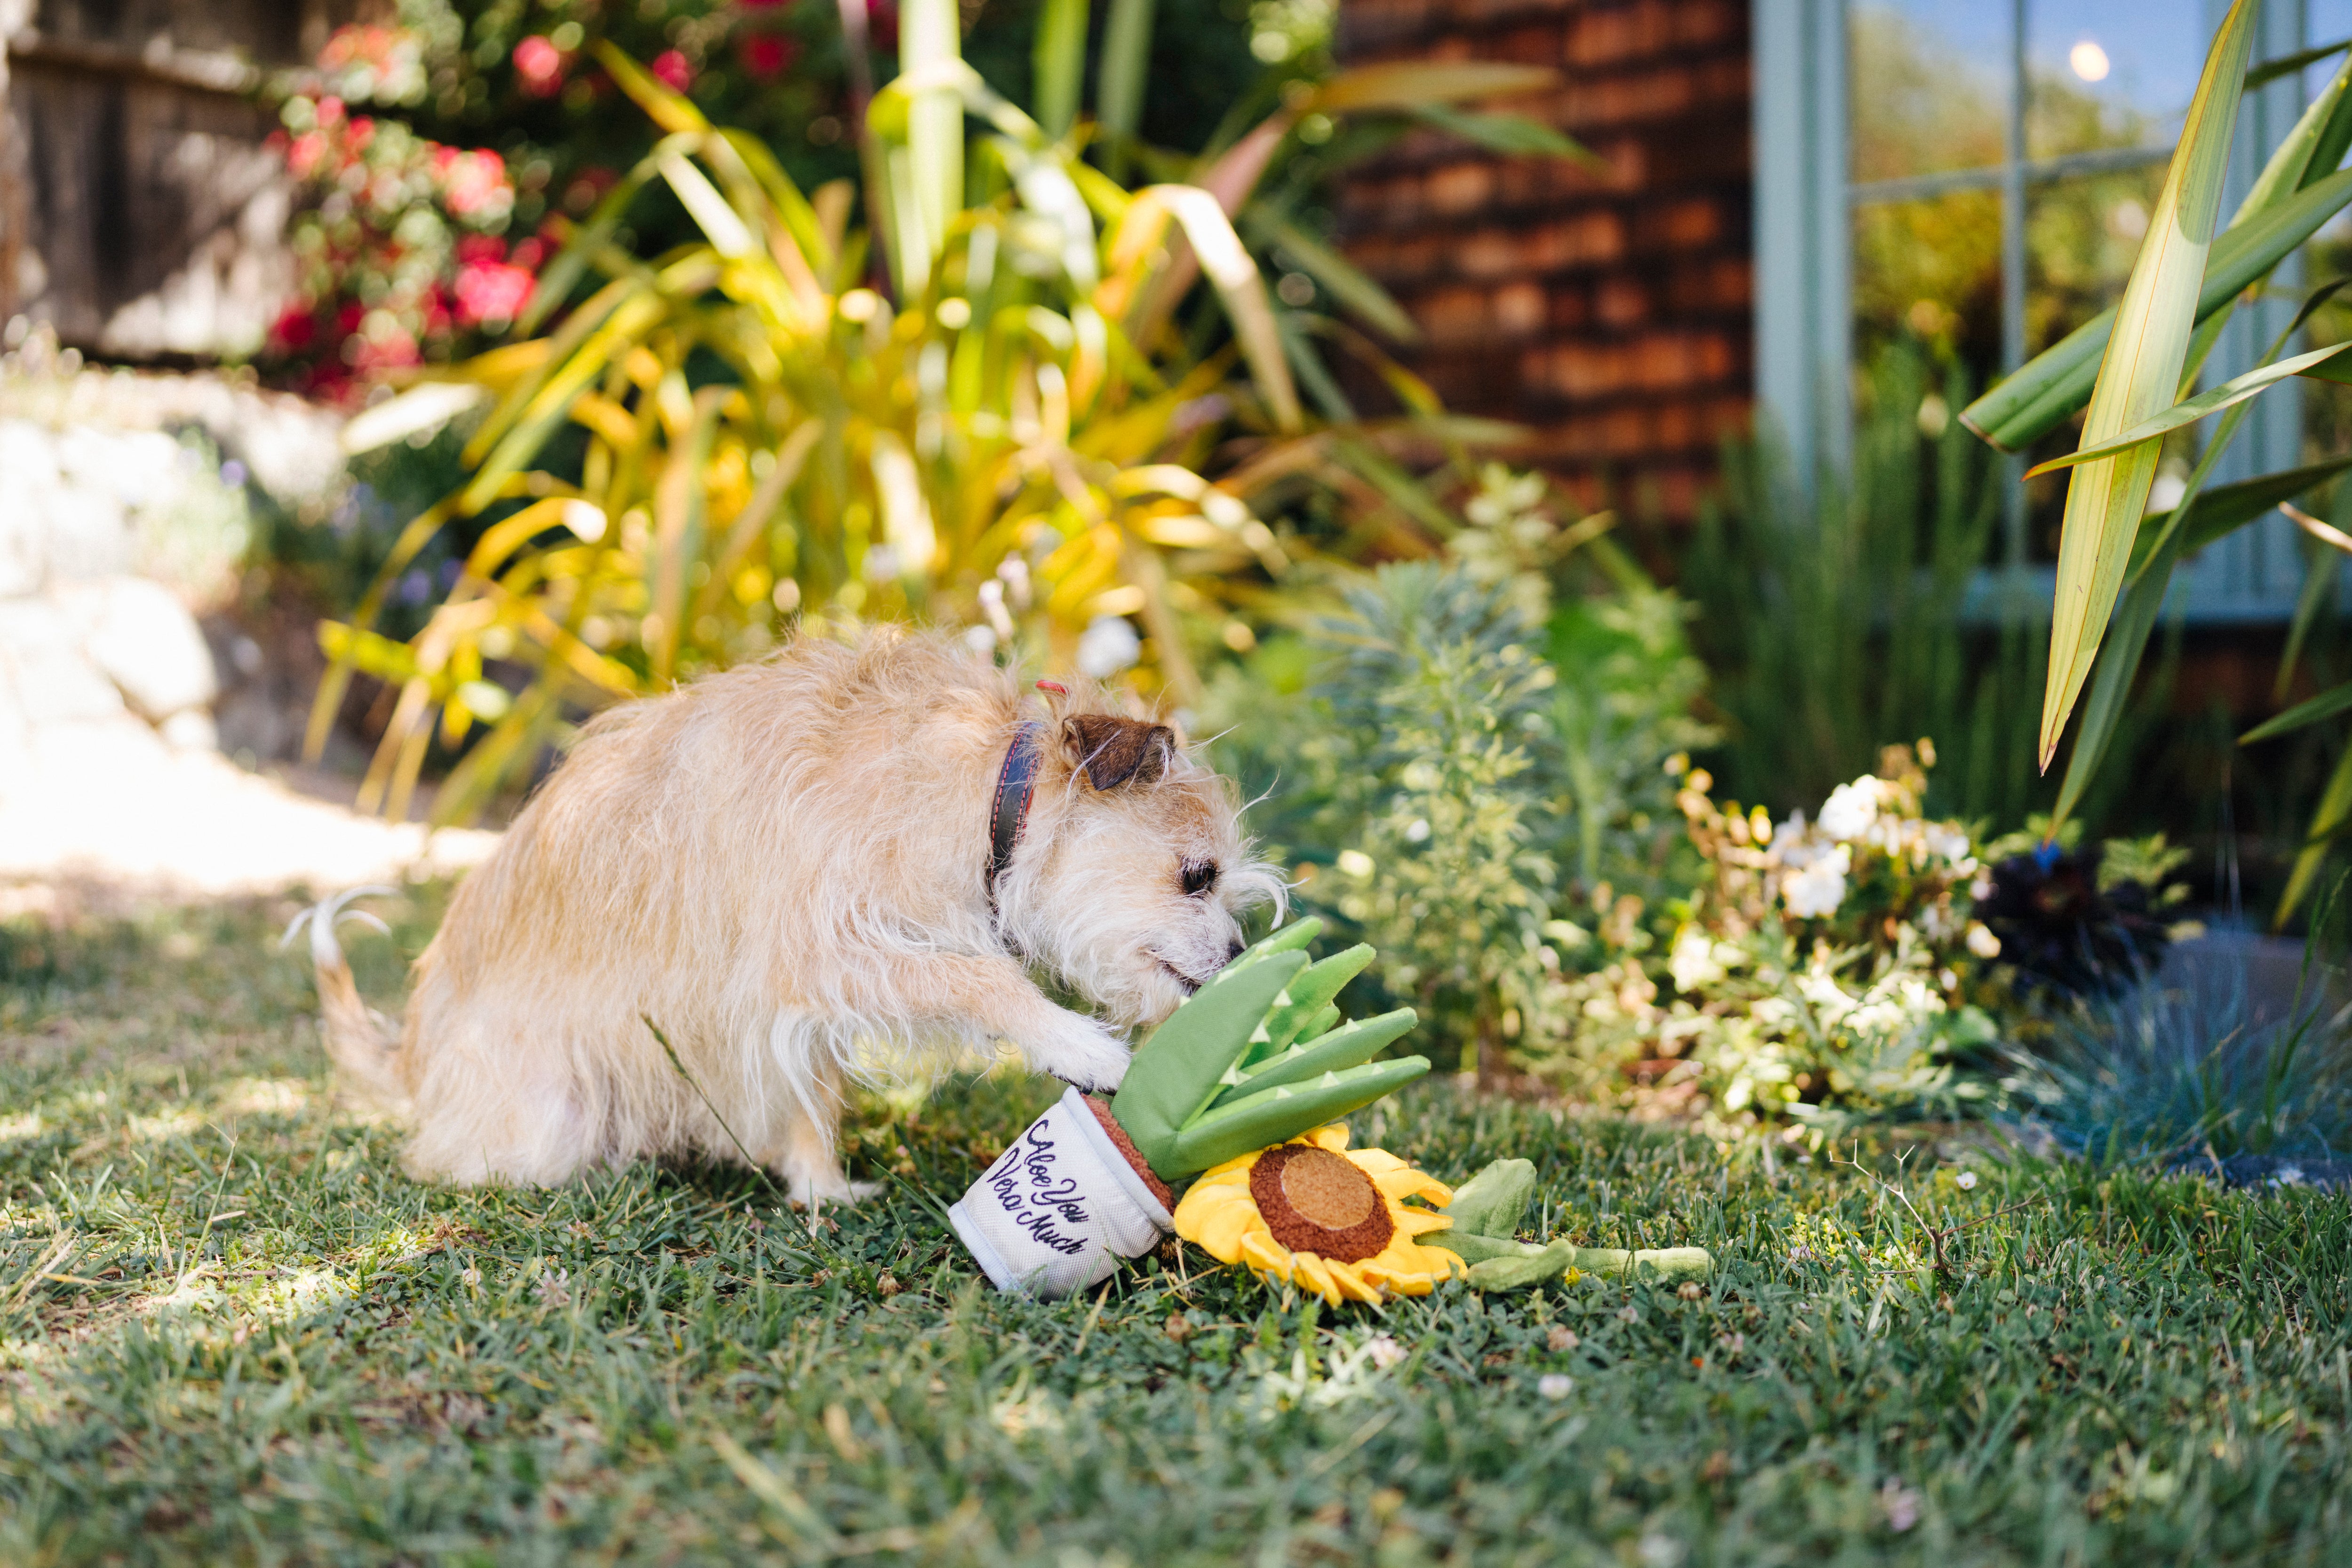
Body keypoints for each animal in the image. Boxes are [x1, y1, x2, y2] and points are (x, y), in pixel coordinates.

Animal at [303, 625, 1289, 1203]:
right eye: (1198, 875)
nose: (1241, 947)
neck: (986, 790)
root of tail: (413, 1054)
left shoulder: (795, 1000)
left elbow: (806, 1095)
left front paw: (822, 1191)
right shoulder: (814, 952)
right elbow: (974, 974)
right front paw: (1075, 1040)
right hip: (549, 1119)